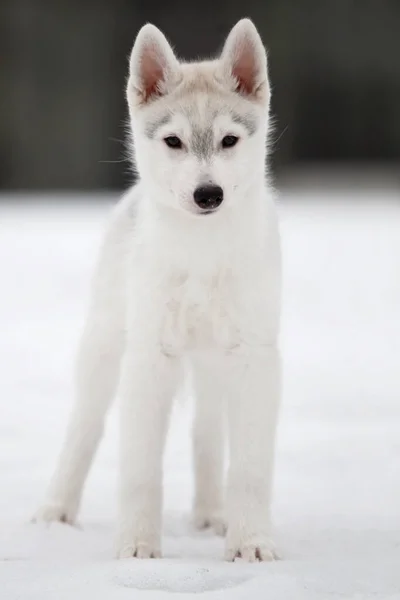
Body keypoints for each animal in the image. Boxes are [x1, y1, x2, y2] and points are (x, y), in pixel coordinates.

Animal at [35, 18, 282, 564]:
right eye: (173, 141)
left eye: (229, 140)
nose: (208, 194)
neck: (201, 255)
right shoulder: (150, 357)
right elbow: (140, 469)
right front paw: (137, 546)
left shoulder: (253, 359)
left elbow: (249, 469)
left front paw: (251, 543)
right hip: (105, 349)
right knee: (84, 429)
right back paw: (55, 511)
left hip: (213, 367)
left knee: (206, 433)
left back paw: (212, 514)